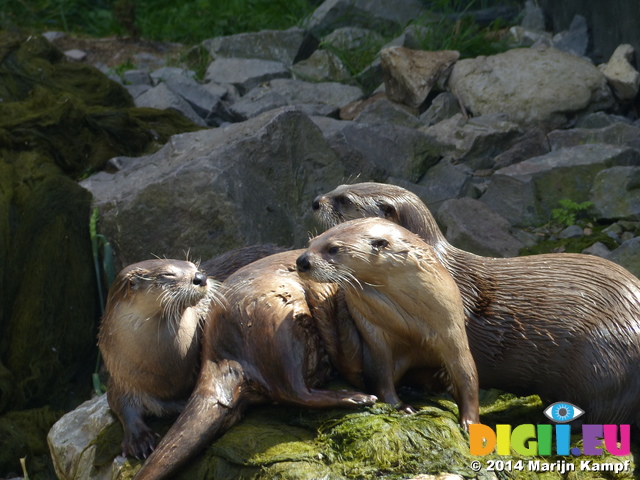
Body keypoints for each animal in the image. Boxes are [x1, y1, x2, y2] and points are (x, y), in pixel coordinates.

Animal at [296, 218, 480, 432]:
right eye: (310, 242)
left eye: (333, 248)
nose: (302, 261)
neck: (411, 325)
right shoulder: (374, 336)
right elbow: (381, 378)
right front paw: (402, 407)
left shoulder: (452, 330)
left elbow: (467, 375)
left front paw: (471, 423)